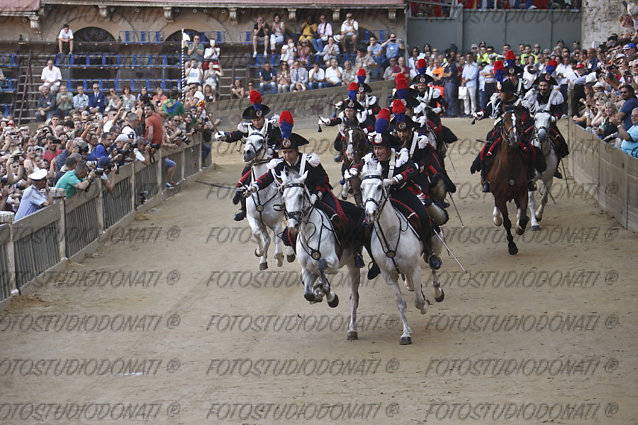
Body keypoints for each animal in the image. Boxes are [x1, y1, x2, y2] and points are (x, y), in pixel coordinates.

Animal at [244, 134, 296, 270]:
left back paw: (289, 254)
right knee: (266, 239)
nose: (247, 153)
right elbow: (256, 234)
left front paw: (280, 259)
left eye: (261, 140)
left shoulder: (276, 223)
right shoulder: (253, 219)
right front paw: (259, 253)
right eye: (246, 140)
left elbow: (278, 244)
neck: (262, 194)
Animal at [282, 171, 364, 340]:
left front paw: (330, 296)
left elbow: (322, 268)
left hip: (352, 265)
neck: (309, 232)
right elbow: (308, 293)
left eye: (300, 196)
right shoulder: (307, 269)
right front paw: (319, 293)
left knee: (354, 297)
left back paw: (352, 330)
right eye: (284, 196)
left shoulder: (334, 263)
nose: (293, 226)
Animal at [360, 161, 444, 342]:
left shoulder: (415, 268)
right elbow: (401, 304)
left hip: (431, 246)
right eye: (362, 188)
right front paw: (406, 333)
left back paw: (437, 291)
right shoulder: (389, 276)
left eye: (379, 186)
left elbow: (418, 300)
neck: (391, 236)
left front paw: (424, 305)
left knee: (432, 264)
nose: (370, 214)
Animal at [488, 110, 532, 255]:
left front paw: (520, 228)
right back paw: (497, 217)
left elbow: (523, 218)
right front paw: (512, 246)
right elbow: (507, 222)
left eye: (519, 120)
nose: (514, 138)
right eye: (505, 121)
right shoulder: (500, 197)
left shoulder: (522, 192)